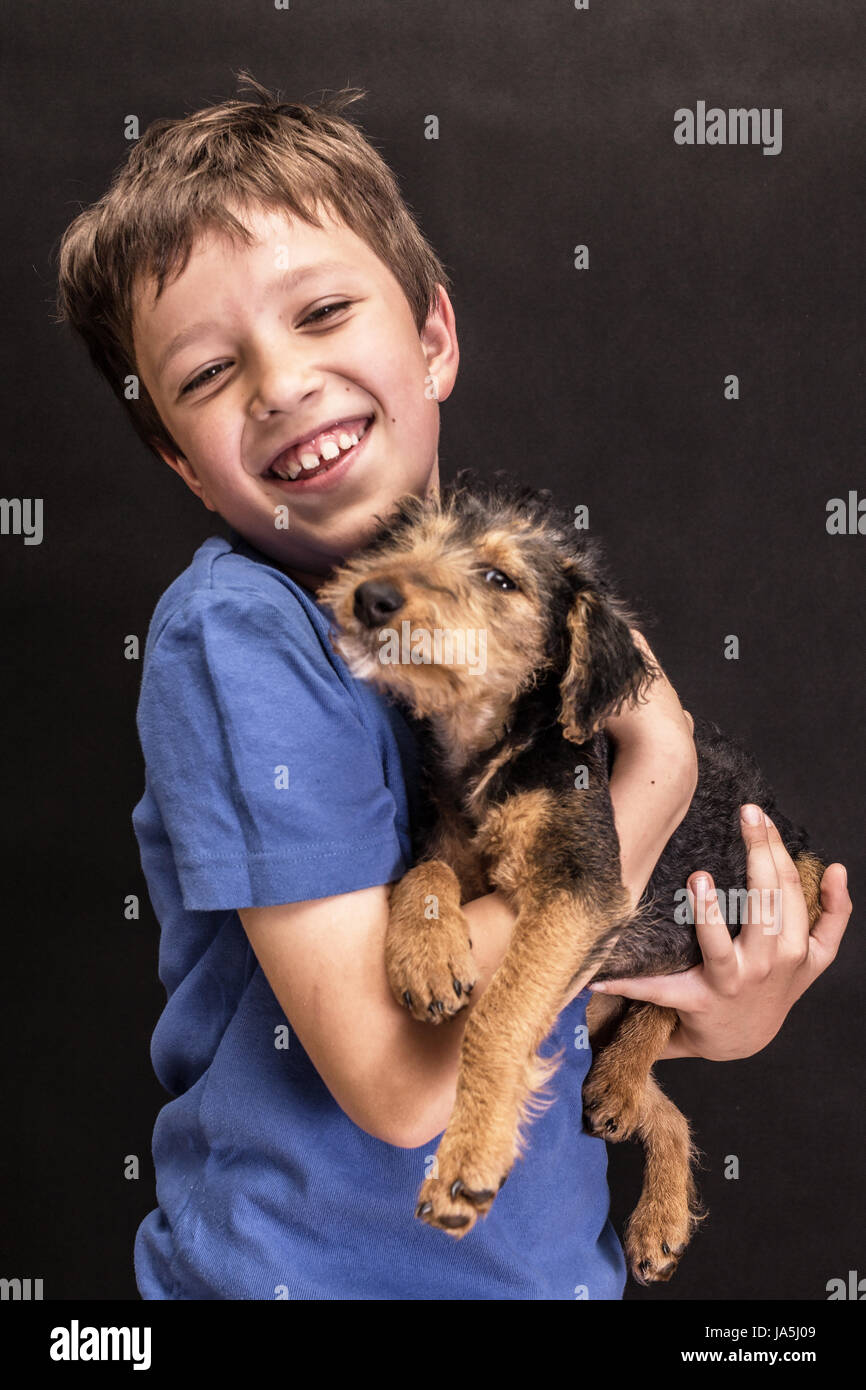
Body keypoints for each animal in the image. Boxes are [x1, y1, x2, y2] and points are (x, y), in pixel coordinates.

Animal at [318, 472, 828, 1284]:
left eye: (500, 579)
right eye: (406, 542)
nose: (374, 596)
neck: (497, 743)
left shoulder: (583, 888)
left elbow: (498, 1015)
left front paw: (468, 1162)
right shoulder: (456, 847)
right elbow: (422, 870)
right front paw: (427, 957)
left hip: (788, 876)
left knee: (667, 1003)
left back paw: (622, 1085)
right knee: (656, 1099)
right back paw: (656, 1209)